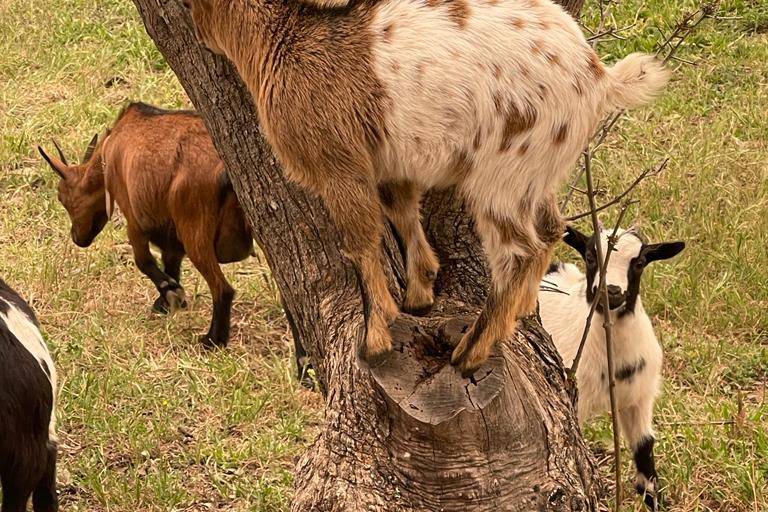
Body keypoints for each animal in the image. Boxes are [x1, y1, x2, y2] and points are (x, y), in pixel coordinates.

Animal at [39, 101, 252, 346]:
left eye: (61, 198)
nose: (77, 238)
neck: (110, 149)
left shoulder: (133, 218)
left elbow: (143, 261)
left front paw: (171, 292)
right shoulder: (170, 235)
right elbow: (171, 264)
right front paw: (167, 301)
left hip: (194, 225)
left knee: (222, 288)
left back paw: (212, 340)